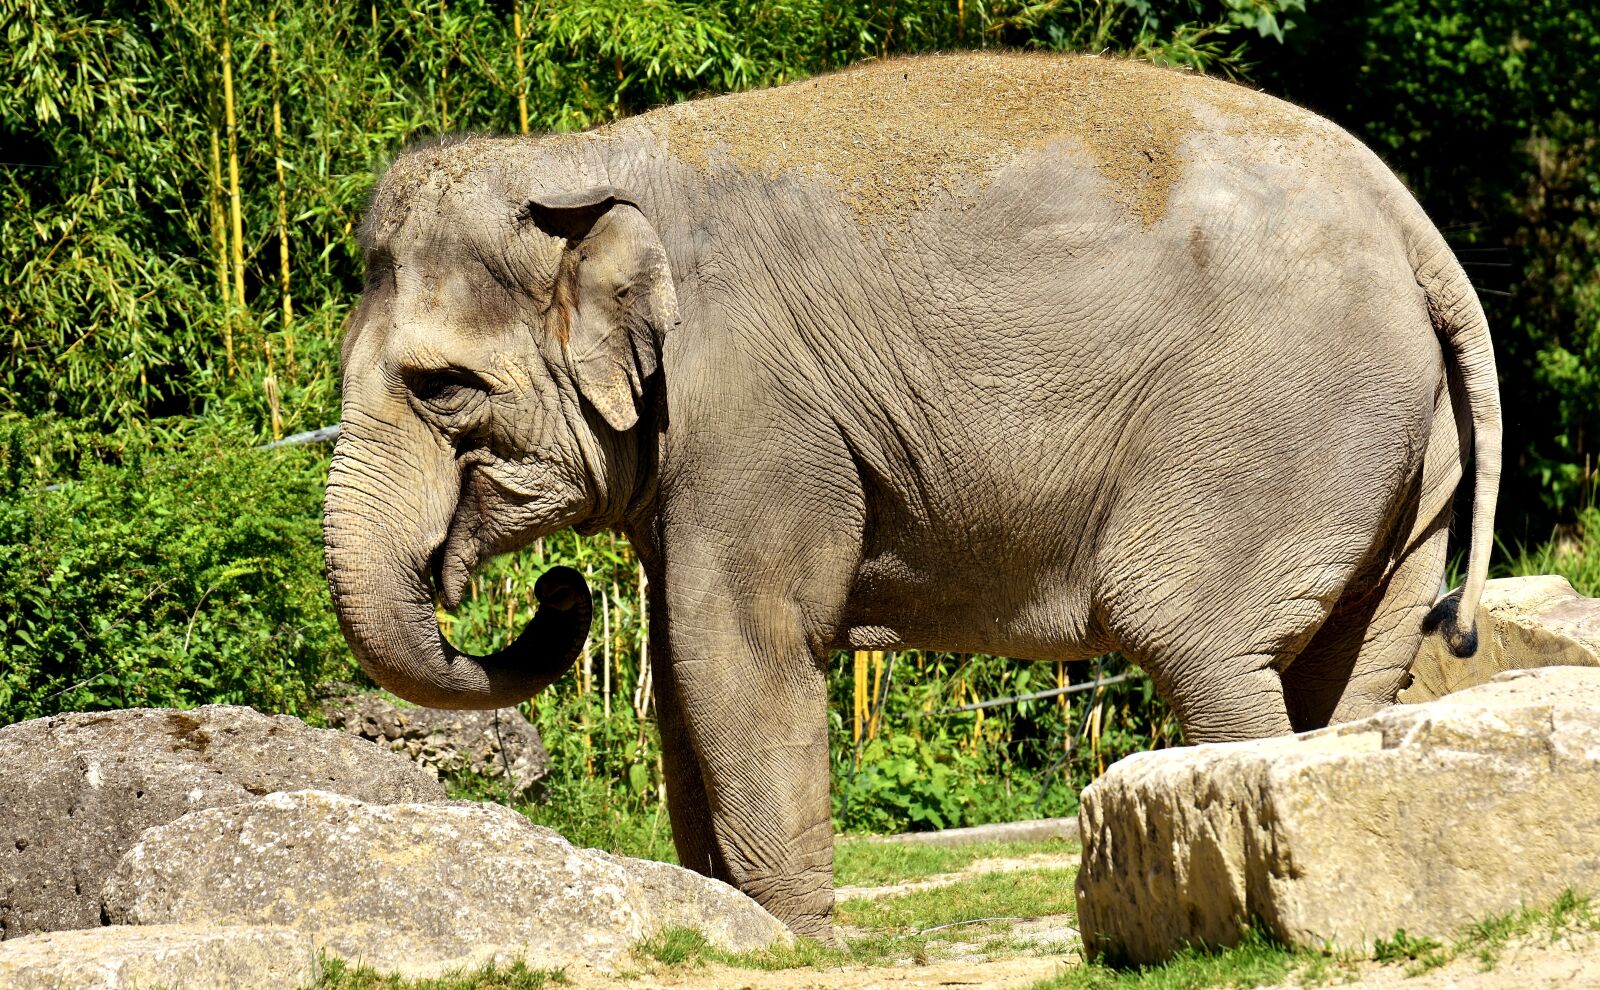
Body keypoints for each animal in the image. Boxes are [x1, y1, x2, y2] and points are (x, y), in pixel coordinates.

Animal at [323, 51, 1501, 938]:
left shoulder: (758, 405)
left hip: (1279, 417)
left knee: (1195, 636)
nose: (557, 589)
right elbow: (677, 651)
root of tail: (1413, 224)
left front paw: (799, 939)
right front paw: (730, 919)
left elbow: (737, 639)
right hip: (1402, 451)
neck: (580, 151)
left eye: (440, 387)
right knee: (1347, 665)